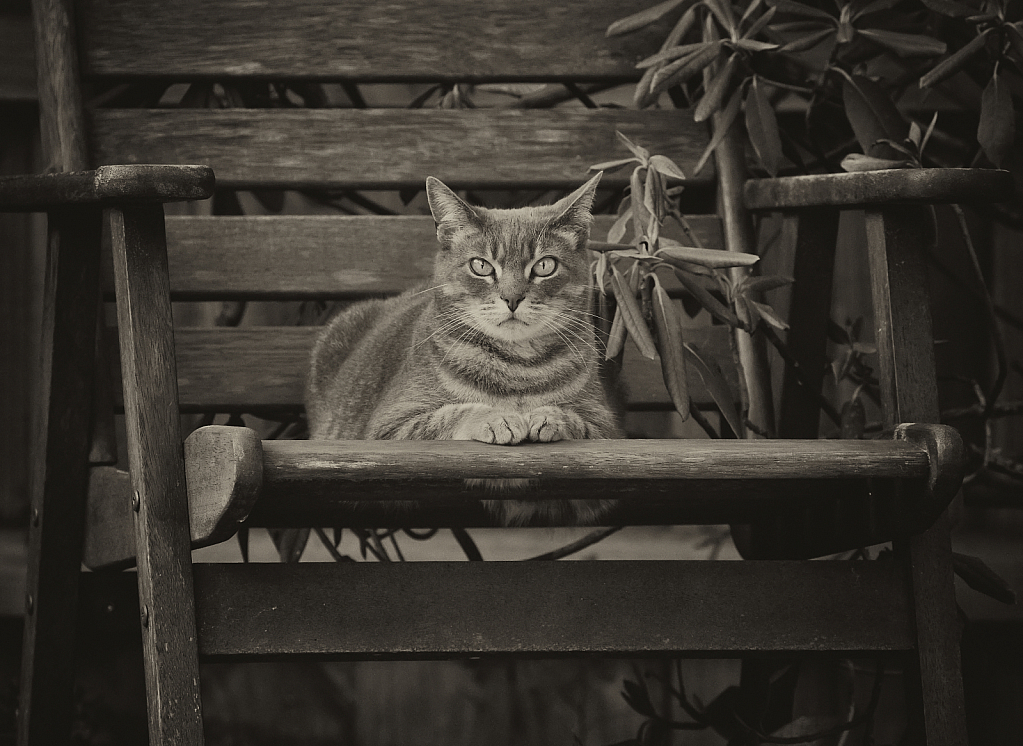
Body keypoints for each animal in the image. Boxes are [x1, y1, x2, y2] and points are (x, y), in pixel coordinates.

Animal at [302, 173, 621, 523]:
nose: (512, 298)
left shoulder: (606, 433)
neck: (517, 369)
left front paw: (548, 416)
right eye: (481, 266)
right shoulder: (387, 431)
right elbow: (452, 413)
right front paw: (498, 418)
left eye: (545, 266)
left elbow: (576, 420)